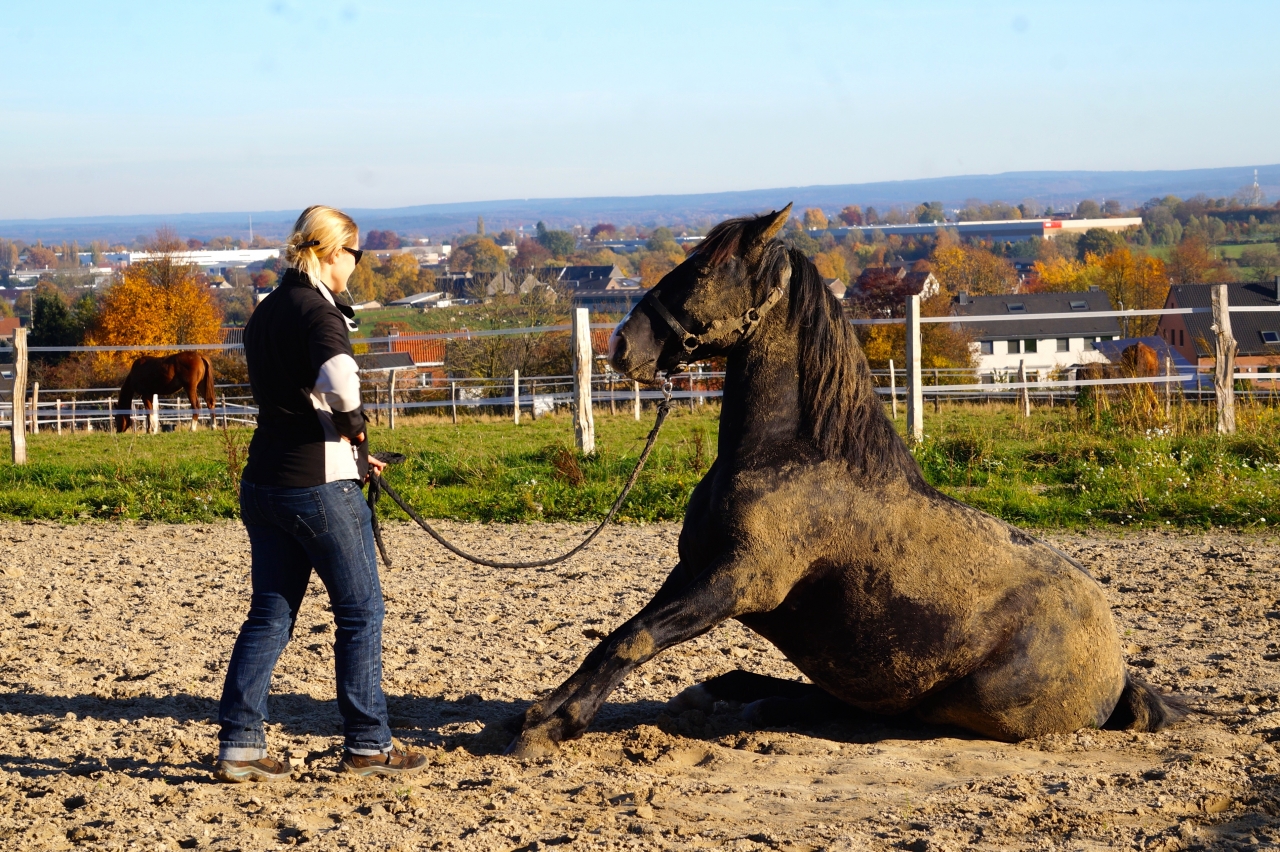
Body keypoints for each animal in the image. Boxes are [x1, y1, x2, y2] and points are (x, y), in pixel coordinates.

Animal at [505, 206, 1183, 757]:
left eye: (705, 270)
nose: (622, 344)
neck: (792, 459)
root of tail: (1118, 673)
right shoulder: (692, 569)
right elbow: (617, 635)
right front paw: (546, 709)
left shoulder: (736, 583)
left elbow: (634, 639)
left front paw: (551, 726)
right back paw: (729, 691)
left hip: (957, 702)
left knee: (872, 713)